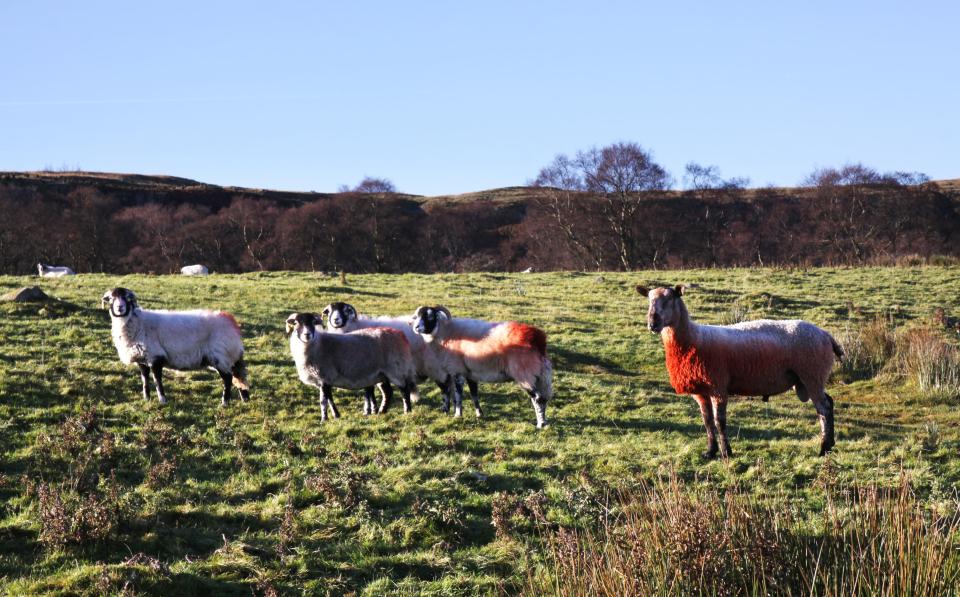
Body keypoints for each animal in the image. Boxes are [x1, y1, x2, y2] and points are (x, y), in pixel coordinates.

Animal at [102, 286, 251, 406]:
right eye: (111, 299)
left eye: (127, 298)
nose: (120, 308)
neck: (137, 322)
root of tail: (230, 321)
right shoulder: (142, 359)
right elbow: (145, 380)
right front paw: (146, 399)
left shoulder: (155, 357)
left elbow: (157, 381)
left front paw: (162, 400)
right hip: (227, 356)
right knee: (237, 376)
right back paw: (244, 399)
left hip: (220, 355)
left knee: (228, 378)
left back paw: (225, 402)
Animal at [284, 312, 420, 420]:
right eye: (296, 323)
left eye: (313, 322)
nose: (307, 334)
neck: (318, 344)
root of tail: (400, 334)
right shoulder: (325, 380)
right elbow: (329, 399)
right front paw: (336, 415)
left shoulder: (324, 376)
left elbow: (323, 401)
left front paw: (324, 419)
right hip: (382, 374)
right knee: (388, 392)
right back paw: (381, 412)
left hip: (396, 369)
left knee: (404, 390)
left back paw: (407, 411)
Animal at [322, 300, 484, 416]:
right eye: (330, 311)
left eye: (345, 310)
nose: (336, 320)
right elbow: (370, 392)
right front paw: (371, 409)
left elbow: (368, 392)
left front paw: (368, 410)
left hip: (435, 367)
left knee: (445, 388)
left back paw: (445, 409)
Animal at [408, 304, 552, 426]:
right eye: (418, 316)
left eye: (430, 316)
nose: (416, 328)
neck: (445, 332)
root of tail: (538, 339)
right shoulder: (470, 373)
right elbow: (474, 395)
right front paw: (479, 414)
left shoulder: (457, 371)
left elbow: (459, 395)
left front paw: (458, 415)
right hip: (541, 376)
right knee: (544, 398)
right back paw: (544, 422)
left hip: (525, 375)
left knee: (537, 398)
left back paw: (540, 424)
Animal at [636, 284, 840, 456]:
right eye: (649, 300)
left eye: (670, 299)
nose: (652, 324)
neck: (694, 339)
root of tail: (826, 335)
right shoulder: (701, 391)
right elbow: (707, 421)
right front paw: (710, 452)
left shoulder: (718, 386)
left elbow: (720, 422)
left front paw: (726, 452)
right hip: (811, 378)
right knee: (828, 403)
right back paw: (830, 444)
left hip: (812, 374)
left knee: (823, 408)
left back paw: (823, 449)